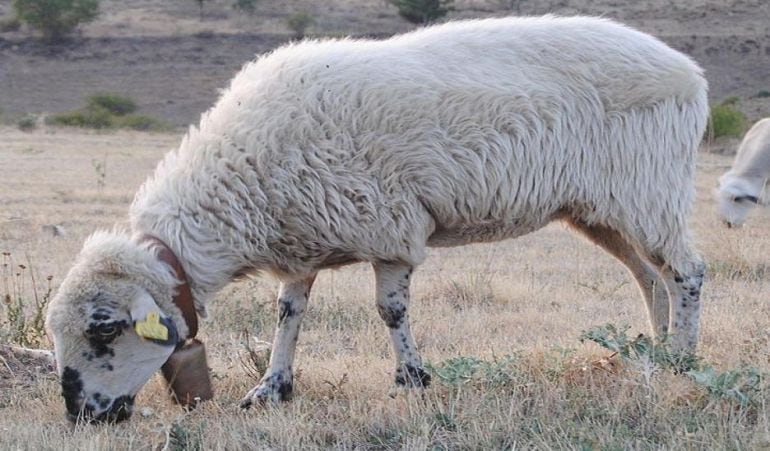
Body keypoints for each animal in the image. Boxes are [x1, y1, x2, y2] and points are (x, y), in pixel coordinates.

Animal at [45, 15, 708, 424]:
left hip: (648, 186)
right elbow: (288, 313)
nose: (81, 416)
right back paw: (652, 355)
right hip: (602, 208)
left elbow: (389, 311)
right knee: (648, 276)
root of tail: (690, 72)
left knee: (687, 271)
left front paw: (413, 380)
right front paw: (272, 389)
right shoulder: (302, 236)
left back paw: (684, 362)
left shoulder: (389, 227)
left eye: (104, 329)